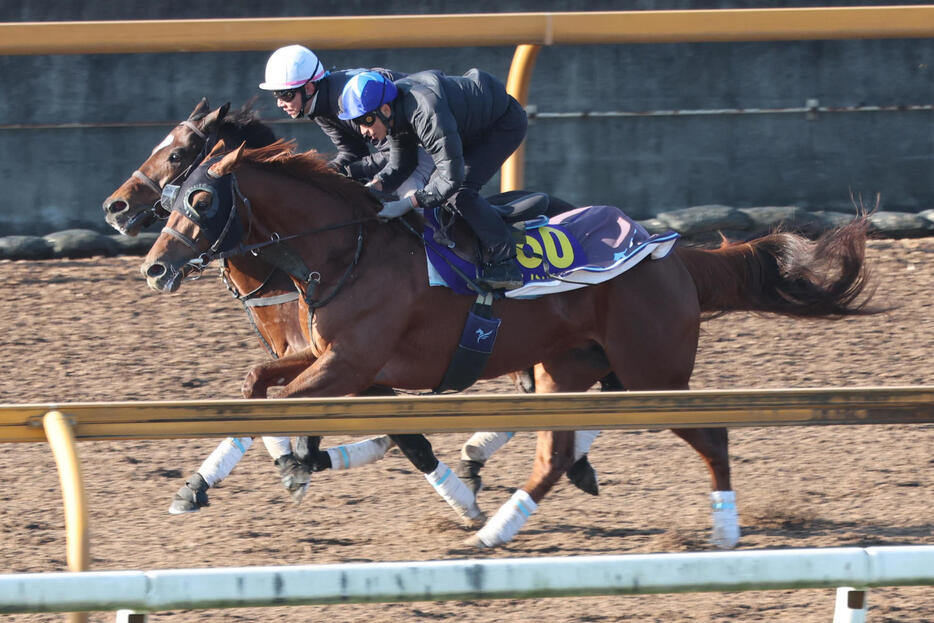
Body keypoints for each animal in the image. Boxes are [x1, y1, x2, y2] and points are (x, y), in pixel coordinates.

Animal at [141, 140, 876, 544]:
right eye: (175, 192)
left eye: (200, 198)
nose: (153, 265)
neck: (346, 245)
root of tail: (670, 251)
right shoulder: (328, 356)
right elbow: (256, 387)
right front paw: (205, 484)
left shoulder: (351, 363)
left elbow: (295, 404)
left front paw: (296, 463)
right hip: (572, 366)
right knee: (558, 449)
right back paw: (501, 524)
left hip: (653, 370)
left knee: (711, 434)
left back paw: (725, 531)